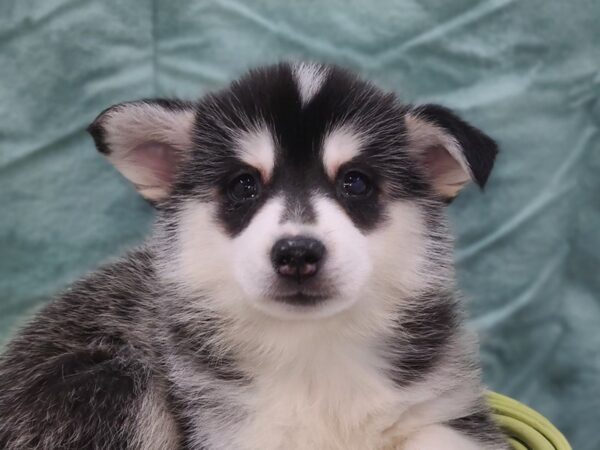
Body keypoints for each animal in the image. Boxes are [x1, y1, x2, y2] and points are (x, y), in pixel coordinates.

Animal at [0, 61, 508, 448]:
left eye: (356, 182)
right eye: (244, 185)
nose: (297, 253)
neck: (312, 350)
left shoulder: (443, 410)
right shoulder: (228, 430)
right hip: (112, 385)